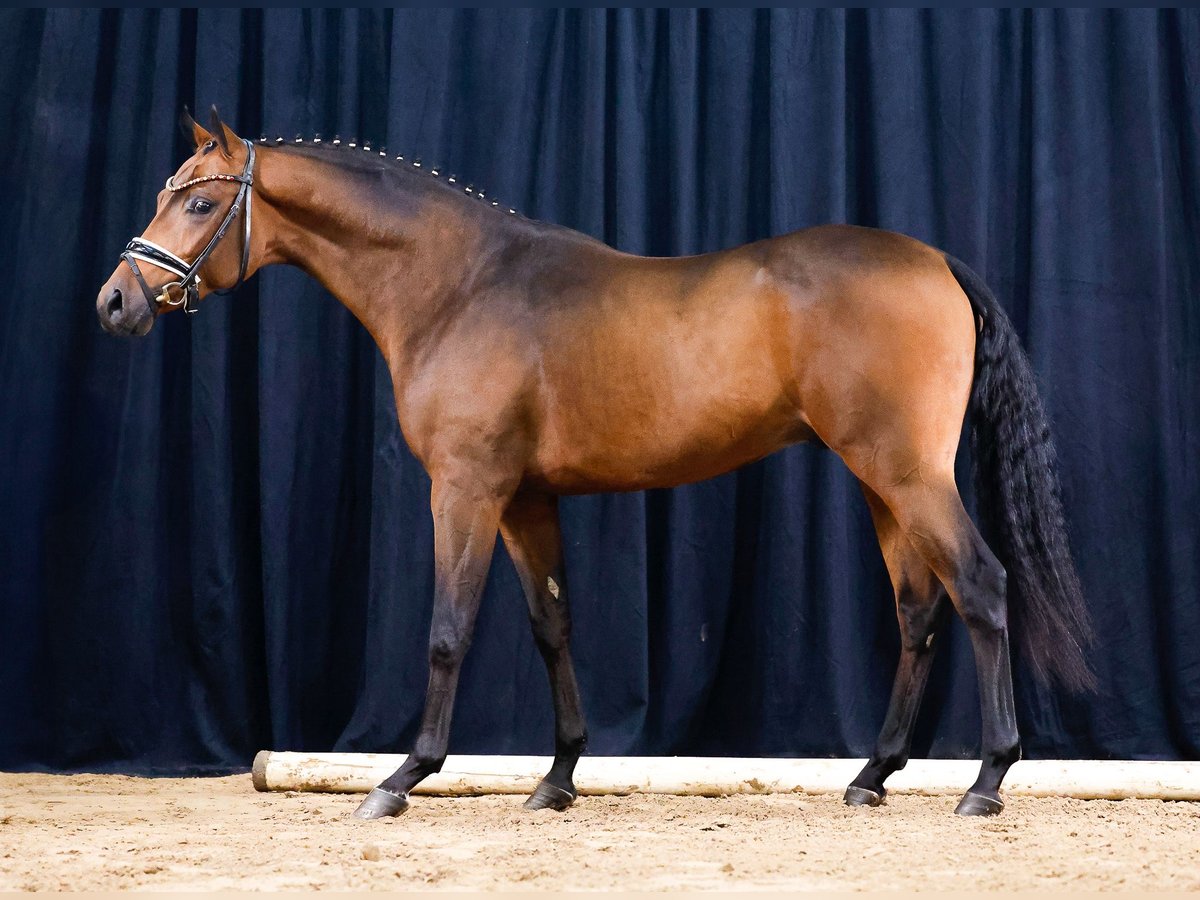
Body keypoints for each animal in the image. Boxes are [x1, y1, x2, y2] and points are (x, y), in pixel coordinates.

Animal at [96, 109, 1089, 820]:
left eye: (197, 202)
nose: (115, 302)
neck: (462, 286)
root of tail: (937, 261)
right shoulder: (526, 499)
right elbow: (552, 626)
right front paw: (558, 776)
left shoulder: (465, 490)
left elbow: (449, 629)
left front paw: (403, 777)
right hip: (884, 483)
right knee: (920, 612)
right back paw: (873, 775)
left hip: (908, 474)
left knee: (981, 588)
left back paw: (986, 781)